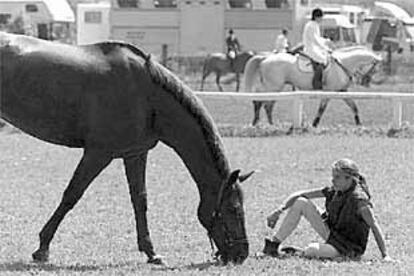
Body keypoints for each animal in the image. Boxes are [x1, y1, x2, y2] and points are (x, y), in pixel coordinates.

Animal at [0, 32, 252, 266]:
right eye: (232, 209)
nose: (242, 254)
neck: (147, 96)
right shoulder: (98, 153)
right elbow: (71, 195)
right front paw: (42, 248)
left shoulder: (135, 154)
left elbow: (140, 200)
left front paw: (151, 252)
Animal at [243, 46, 382, 126]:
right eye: (375, 69)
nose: (366, 82)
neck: (343, 64)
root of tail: (266, 58)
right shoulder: (329, 92)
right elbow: (322, 109)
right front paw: (315, 124)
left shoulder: (342, 91)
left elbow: (354, 106)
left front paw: (359, 124)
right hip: (274, 86)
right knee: (264, 103)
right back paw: (266, 123)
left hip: (272, 87)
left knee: (263, 102)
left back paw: (261, 123)